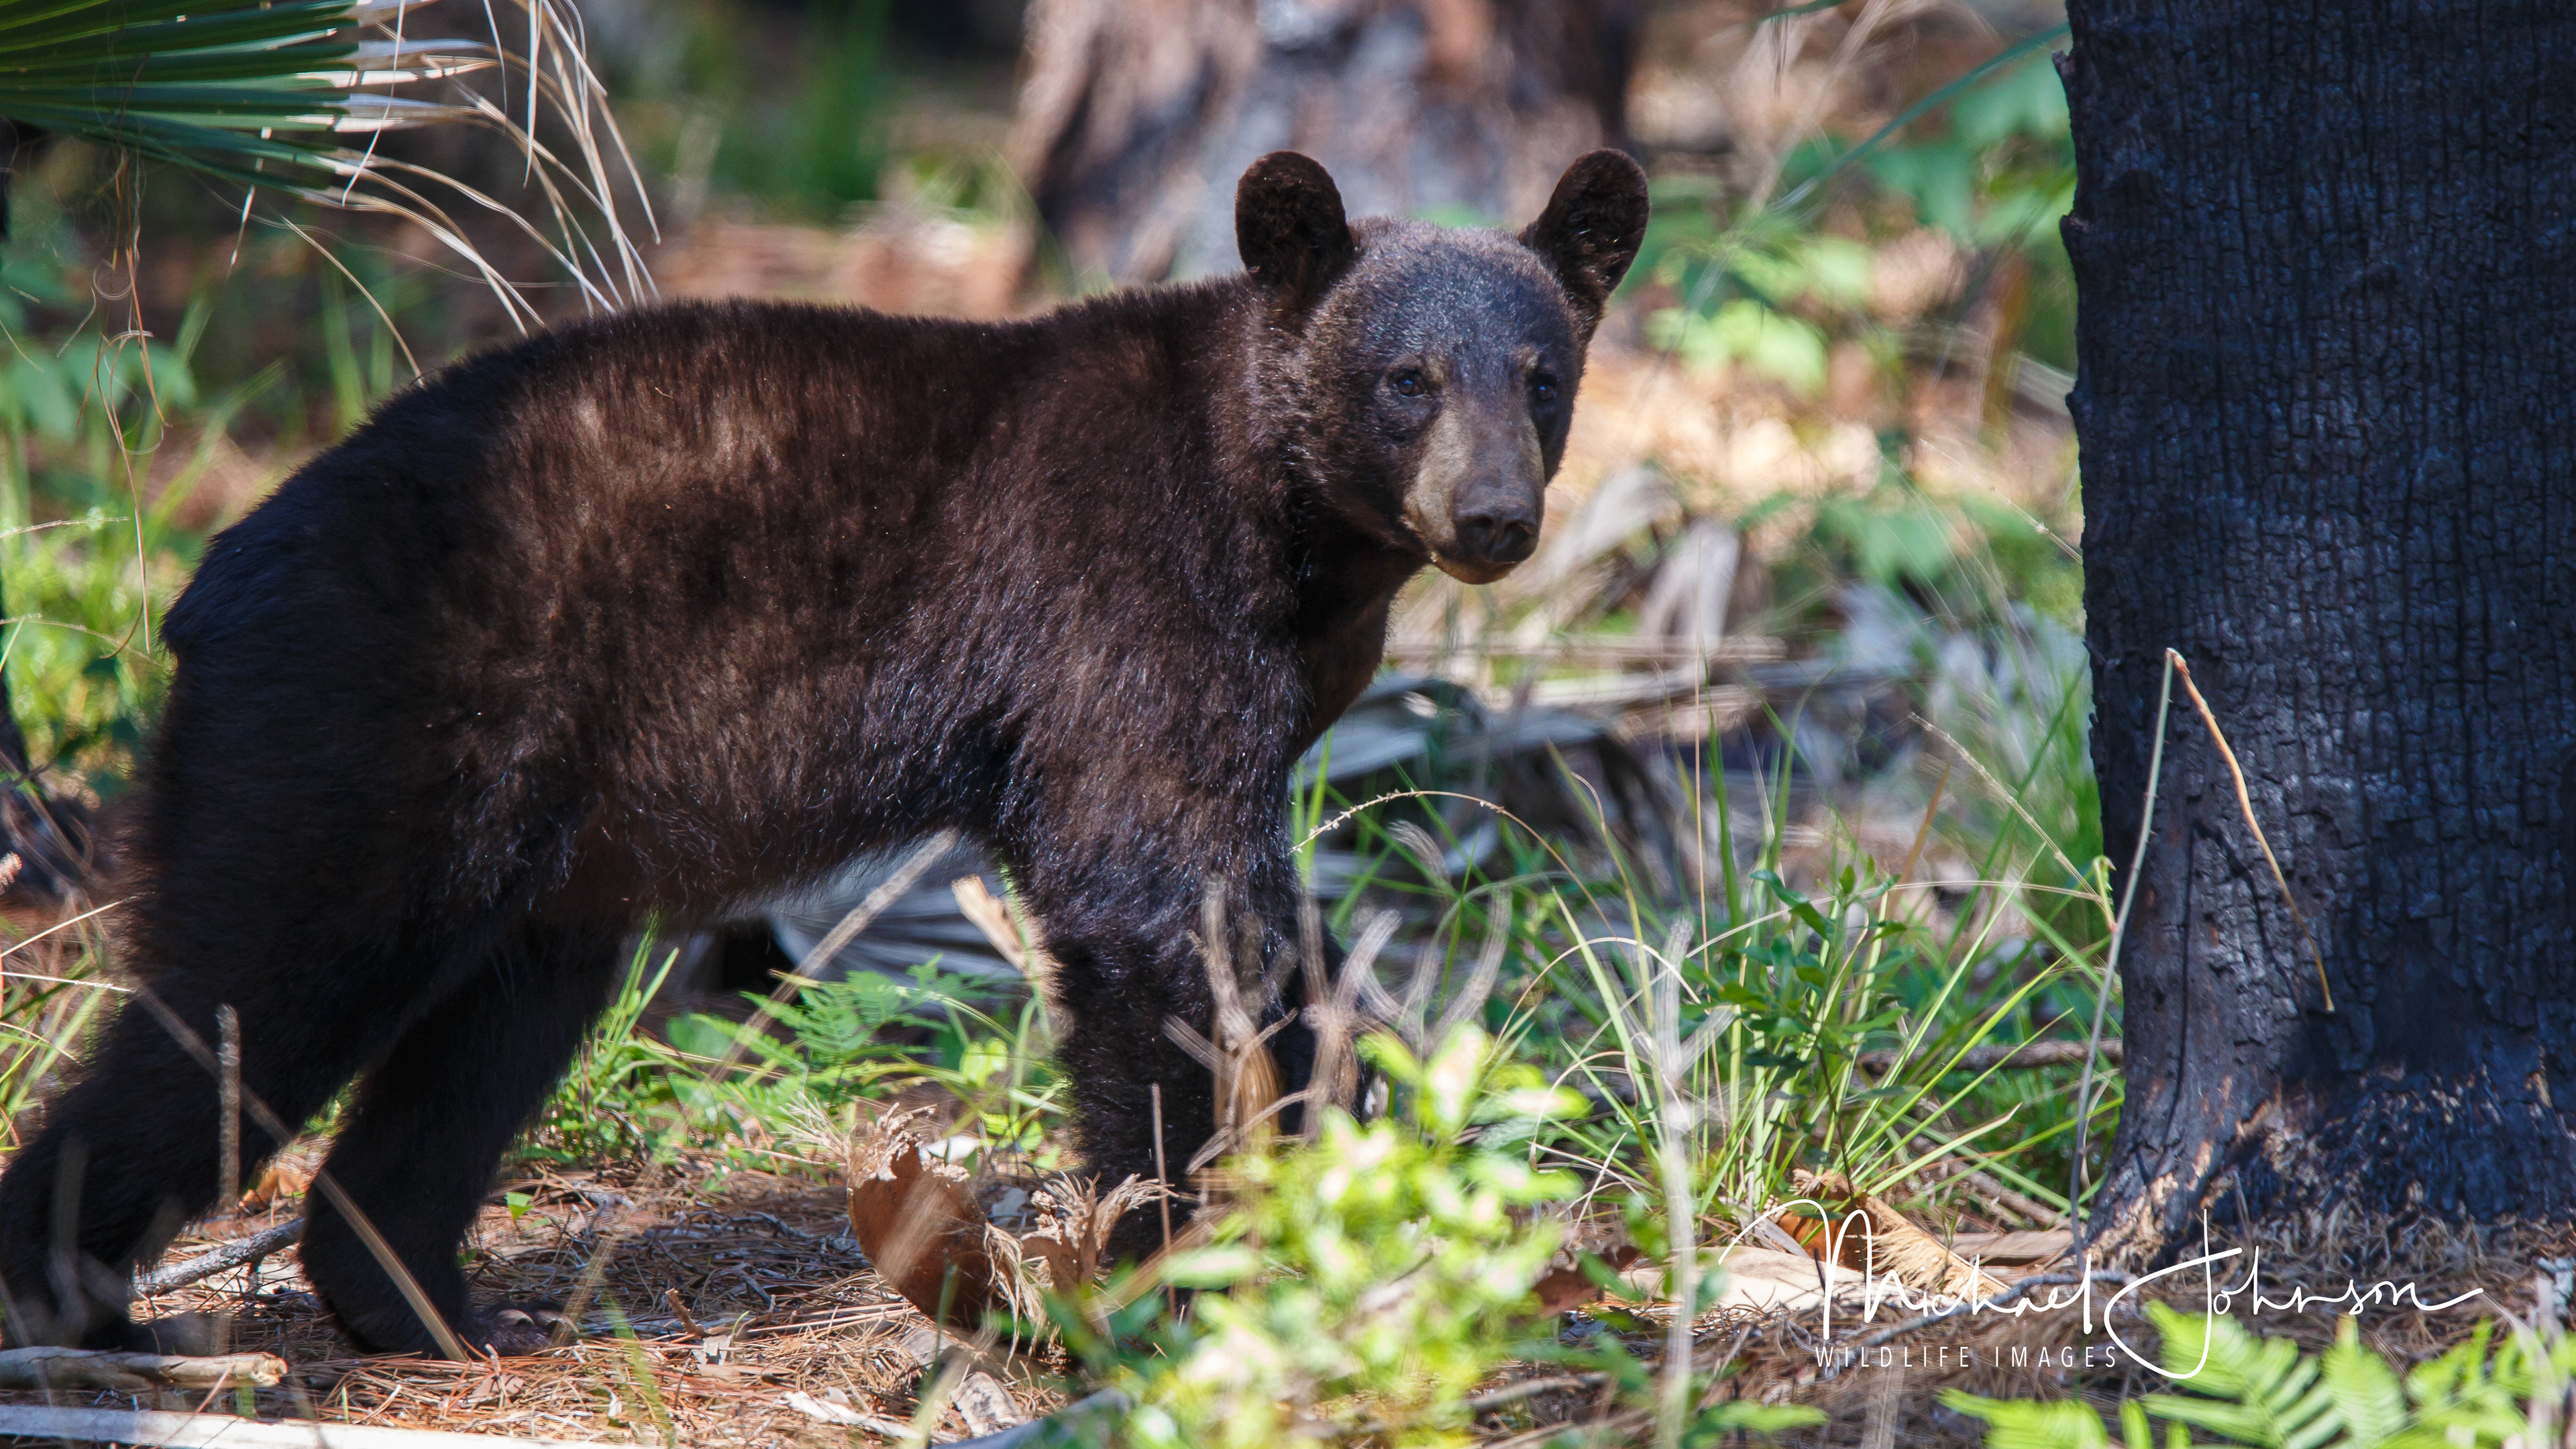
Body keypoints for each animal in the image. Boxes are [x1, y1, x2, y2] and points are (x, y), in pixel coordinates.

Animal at [0, 148, 1648, 1358]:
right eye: (1407, 380)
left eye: (1542, 374)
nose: (1495, 516)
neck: (1272, 520)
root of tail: (204, 589)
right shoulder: (1119, 618)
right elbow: (1139, 900)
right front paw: (1168, 1257)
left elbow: (1256, 923)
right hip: (364, 738)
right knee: (246, 997)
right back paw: (83, 1303)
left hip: (548, 861)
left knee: (475, 1044)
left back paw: (429, 1312)